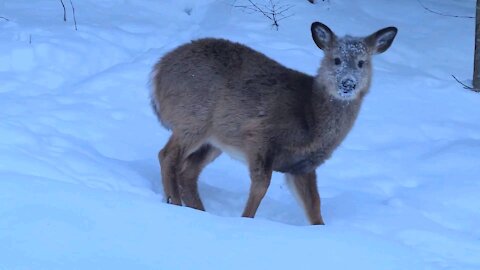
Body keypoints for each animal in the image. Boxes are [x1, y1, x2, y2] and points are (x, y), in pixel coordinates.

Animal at [151, 21, 398, 225]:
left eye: (362, 63)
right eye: (336, 59)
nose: (348, 83)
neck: (310, 117)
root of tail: (157, 72)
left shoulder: (303, 165)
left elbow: (314, 207)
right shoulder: (260, 137)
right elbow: (261, 187)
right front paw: (245, 221)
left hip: (214, 139)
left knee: (187, 171)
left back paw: (197, 211)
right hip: (193, 117)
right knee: (168, 156)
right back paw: (174, 203)